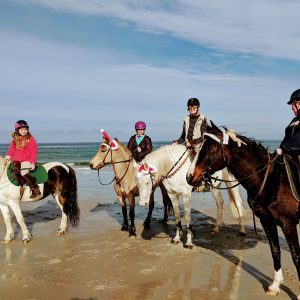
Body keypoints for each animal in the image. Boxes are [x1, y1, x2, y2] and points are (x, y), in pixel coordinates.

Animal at [185, 121, 300, 298]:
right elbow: (275, 251)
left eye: (210, 149)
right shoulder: (267, 221)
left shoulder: (288, 224)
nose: (189, 177)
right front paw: (275, 286)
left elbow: (296, 257)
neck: (271, 180)